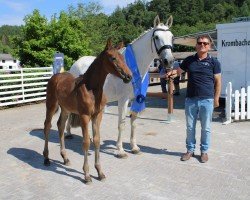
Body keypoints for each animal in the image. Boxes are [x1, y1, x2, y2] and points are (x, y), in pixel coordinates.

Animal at [66, 15, 174, 159]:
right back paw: (68, 133)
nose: (169, 61)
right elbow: (121, 124)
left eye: (172, 37)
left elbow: (134, 121)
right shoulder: (123, 100)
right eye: (156, 37)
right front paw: (120, 150)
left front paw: (134, 147)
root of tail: (76, 63)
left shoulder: (135, 99)